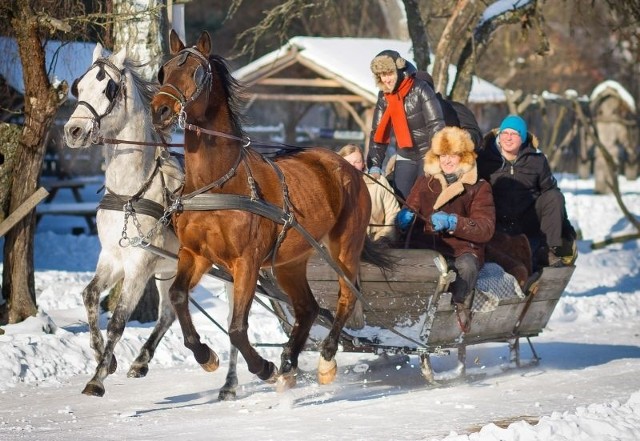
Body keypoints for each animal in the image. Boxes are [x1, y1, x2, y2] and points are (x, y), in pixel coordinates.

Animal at [64, 43, 240, 398]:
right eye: (78, 87)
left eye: (108, 88)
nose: (72, 131)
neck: (131, 191)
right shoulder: (113, 257)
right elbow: (89, 296)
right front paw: (106, 358)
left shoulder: (139, 265)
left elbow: (118, 320)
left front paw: (97, 378)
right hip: (170, 269)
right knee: (169, 312)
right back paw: (145, 360)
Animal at [151, 30, 390, 388]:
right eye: (163, 71)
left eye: (195, 72)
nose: (160, 110)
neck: (219, 182)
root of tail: (347, 167)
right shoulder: (196, 254)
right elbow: (178, 296)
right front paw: (205, 354)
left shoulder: (246, 262)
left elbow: (237, 328)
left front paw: (262, 367)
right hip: (289, 261)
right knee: (307, 307)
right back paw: (289, 360)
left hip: (345, 245)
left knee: (347, 294)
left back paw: (325, 358)